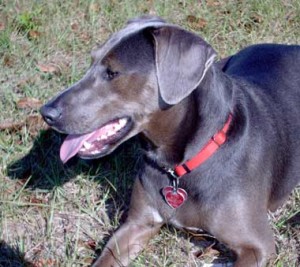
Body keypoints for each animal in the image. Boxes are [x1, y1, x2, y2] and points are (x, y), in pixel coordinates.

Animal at [40, 16, 300, 266]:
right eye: (91, 61)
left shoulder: (257, 246)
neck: (180, 165)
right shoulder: (137, 223)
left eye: (112, 72)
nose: (46, 112)